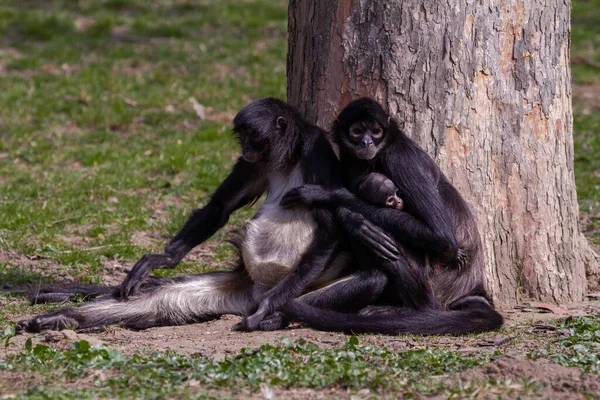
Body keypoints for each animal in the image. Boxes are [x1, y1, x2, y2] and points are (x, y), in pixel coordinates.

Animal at [15, 98, 398, 332]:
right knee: (156, 301)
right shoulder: (255, 164)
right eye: (243, 138)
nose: (246, 147)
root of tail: (253, 291)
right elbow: (219, 207)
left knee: (369, 280)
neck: (287, 160)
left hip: (298, 289)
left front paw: (269, 310)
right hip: (238, 287)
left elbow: (331, 229)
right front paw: (162, 259)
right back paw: (59, 319)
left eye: (254, 136)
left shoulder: (316, 150)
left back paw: (271, 314)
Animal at [278, 98, 504, 336]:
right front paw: (352, 218)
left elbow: (441, 237)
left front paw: (330, 196)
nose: (367, 142)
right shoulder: (351, 159)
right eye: (357, 131)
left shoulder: (400, 157)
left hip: (435, 283)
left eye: (376, 131)